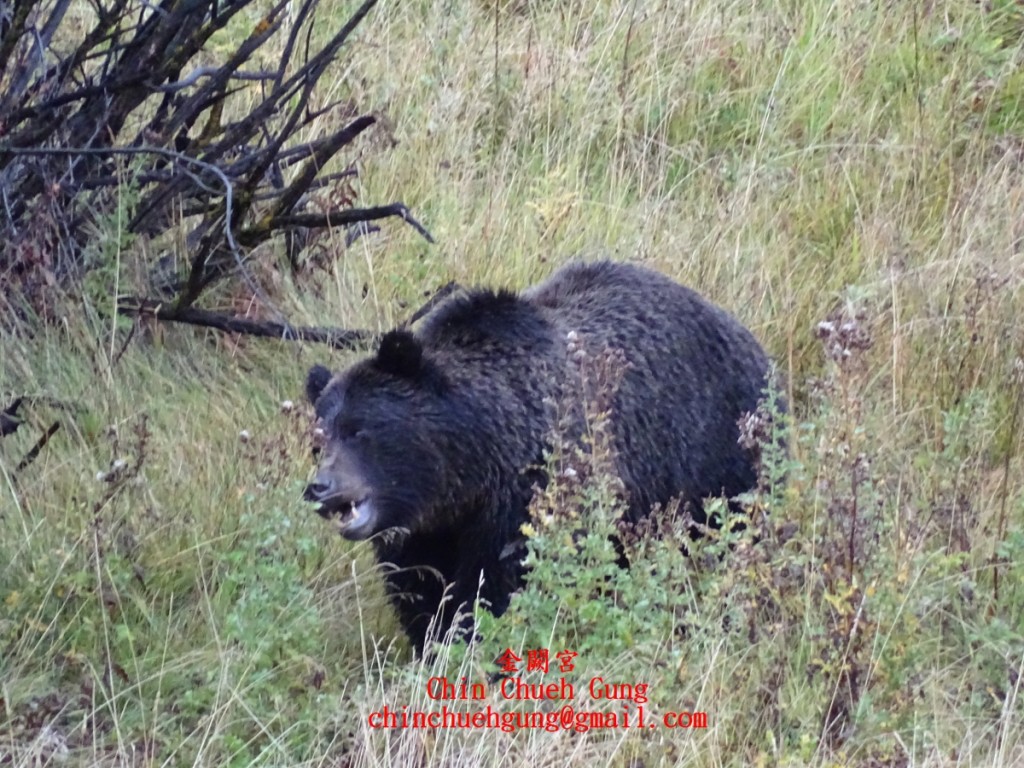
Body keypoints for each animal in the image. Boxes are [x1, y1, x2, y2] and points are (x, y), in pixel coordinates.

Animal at [303, 260, 774, 653]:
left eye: (359, 430)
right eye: (320, 439)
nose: (320, 487)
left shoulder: (529, 496)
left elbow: (502, 585)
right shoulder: (424, 532)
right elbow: (420, 590)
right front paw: (435, 647)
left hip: (719, 462)